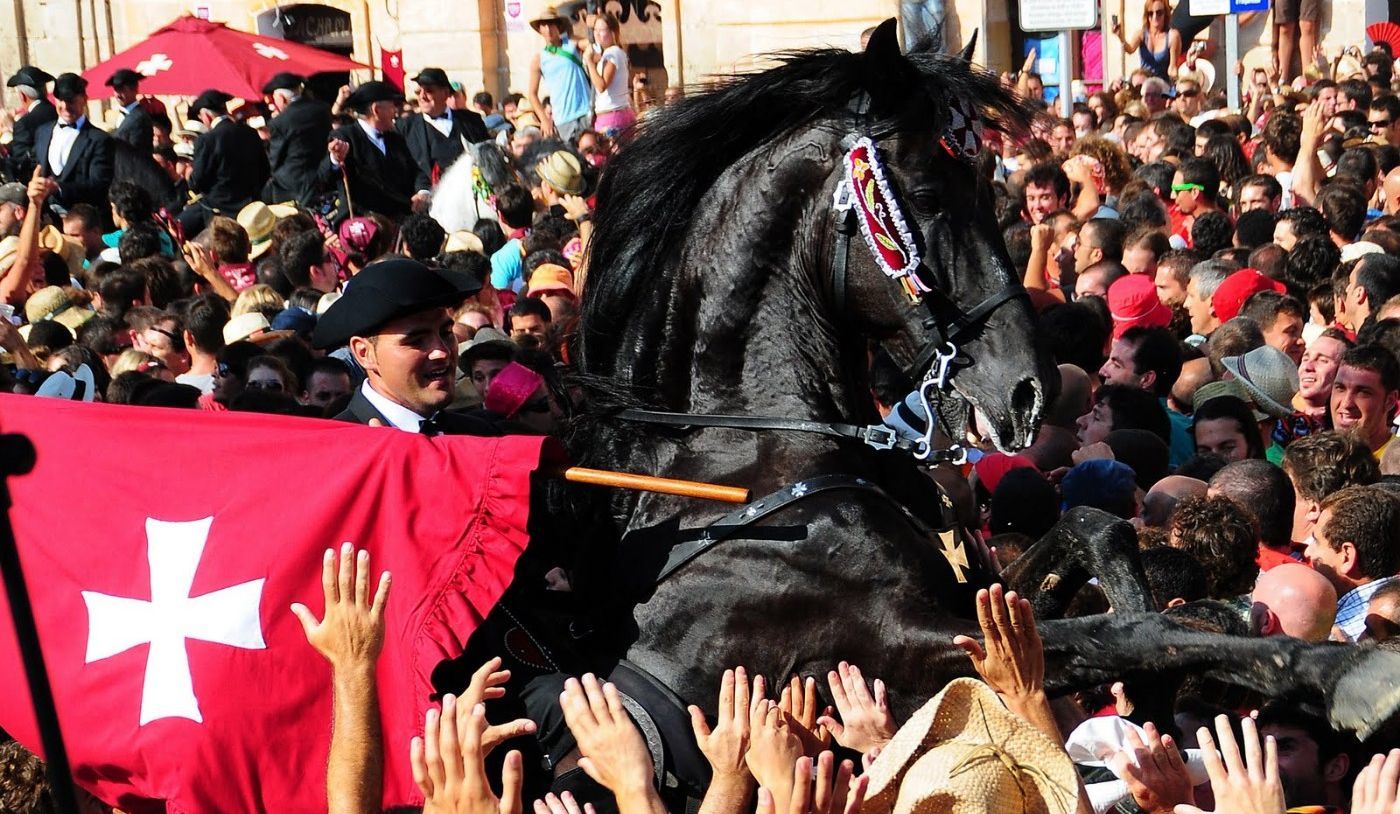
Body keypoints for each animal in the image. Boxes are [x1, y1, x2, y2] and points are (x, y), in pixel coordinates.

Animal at [523, 20, 1400, 784]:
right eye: (924, 192)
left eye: (993, 187)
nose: (1028, 391)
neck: (750, 456)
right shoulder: (900, 650)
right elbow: (1127, 631)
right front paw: (1345, 671)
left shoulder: (976, 604)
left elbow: (1094, 533)